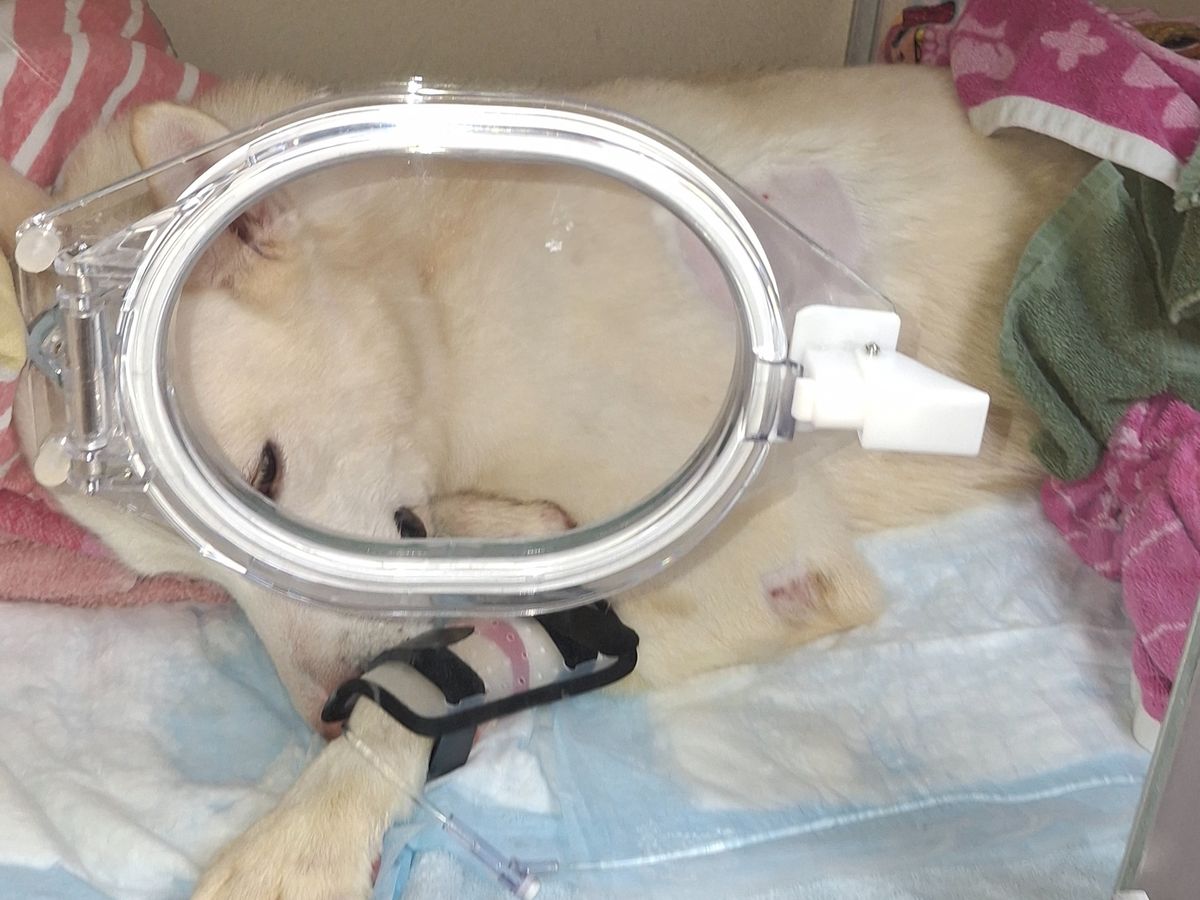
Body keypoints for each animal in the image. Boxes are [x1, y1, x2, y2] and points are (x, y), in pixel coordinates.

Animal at [1, 64, 1092, 897]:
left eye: (260, 476)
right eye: (187, 580)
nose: (321, 717)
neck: (431, 294)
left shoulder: (773, 566)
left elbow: (462, 665)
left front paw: (309, 831)